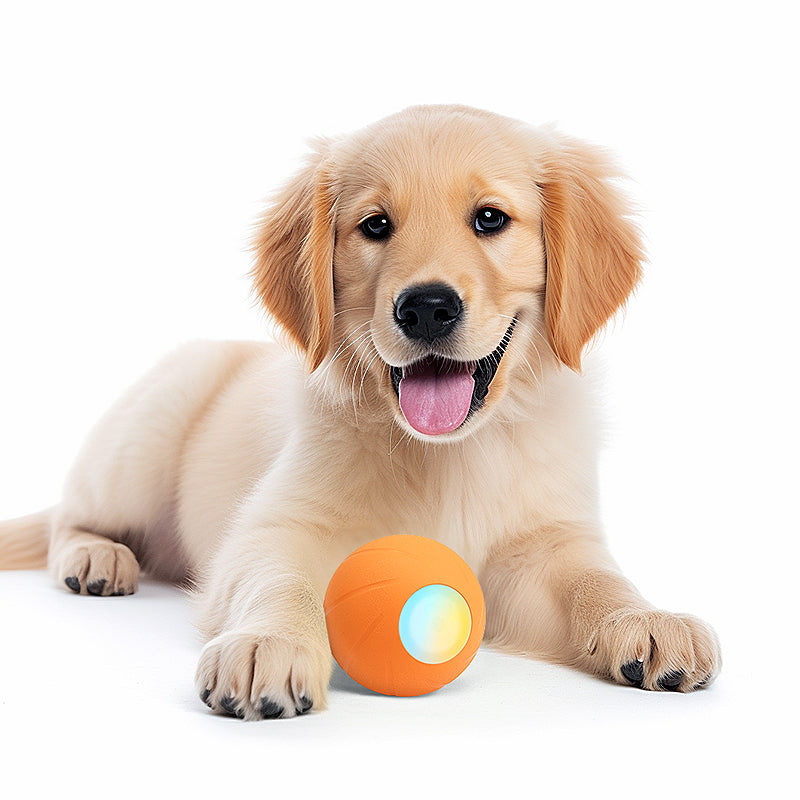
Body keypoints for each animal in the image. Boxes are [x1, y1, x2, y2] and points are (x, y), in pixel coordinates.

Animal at [0, 103, 720, 716]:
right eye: (376, 226)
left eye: (490, 219)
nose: (426, 307)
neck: (448, 453)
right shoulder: (274, 529)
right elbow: (279, 578)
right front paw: (269, 645)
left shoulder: (543, 547)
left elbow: (594, 581)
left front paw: (647, 620)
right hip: (142, 438)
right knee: (70, 516)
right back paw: (95, 559)